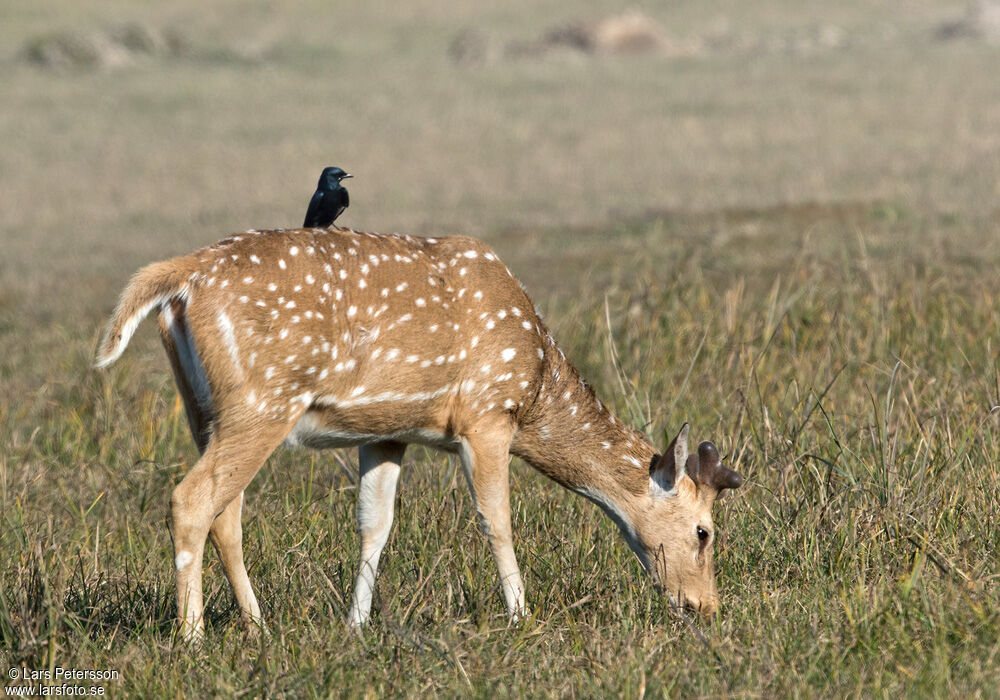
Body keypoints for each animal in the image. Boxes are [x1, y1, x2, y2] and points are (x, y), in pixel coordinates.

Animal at [94, 226, 744, 640]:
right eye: (704, 531)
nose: (704, 607)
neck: (536, 385)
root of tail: (180, 278)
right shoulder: (486, 414)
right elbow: (496, 519)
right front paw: (521, 618)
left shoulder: (388, 431)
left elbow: (374, 523)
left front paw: (356, 625)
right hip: (262, 399)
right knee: (191, 498)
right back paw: (193, 638)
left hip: (203, 409)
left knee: (224, 510)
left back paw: (257, 627)